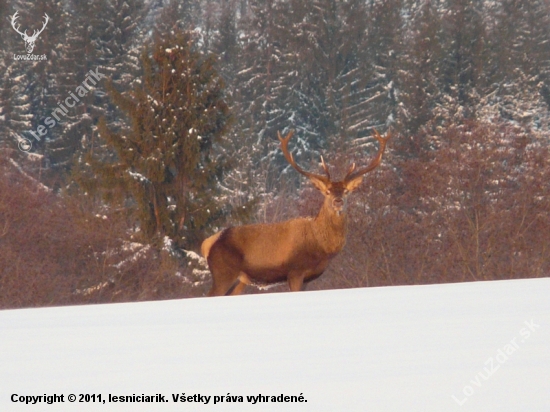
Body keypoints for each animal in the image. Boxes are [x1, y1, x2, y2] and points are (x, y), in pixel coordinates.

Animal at [204, 129, 392, 296]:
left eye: (346, 191)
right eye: (327, 192)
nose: (337, 201)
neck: (321, 247)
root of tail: (208, 243)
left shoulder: (307, 278)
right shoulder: (295, 270)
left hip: (240, 280)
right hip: (223, 272)